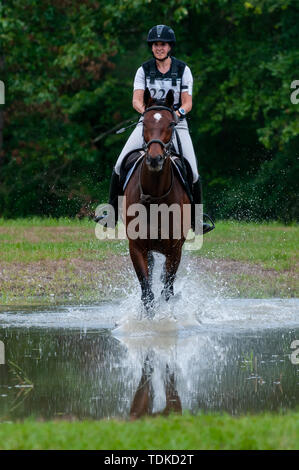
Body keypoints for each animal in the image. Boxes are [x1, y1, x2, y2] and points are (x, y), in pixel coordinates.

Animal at [124, 89, 192, 314]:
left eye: (171, 124)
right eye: (144, 123)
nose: (155, 159)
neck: (155, 196)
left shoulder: (175, 249)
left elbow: (167, 291)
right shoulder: (136, 248)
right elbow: (147, 292)